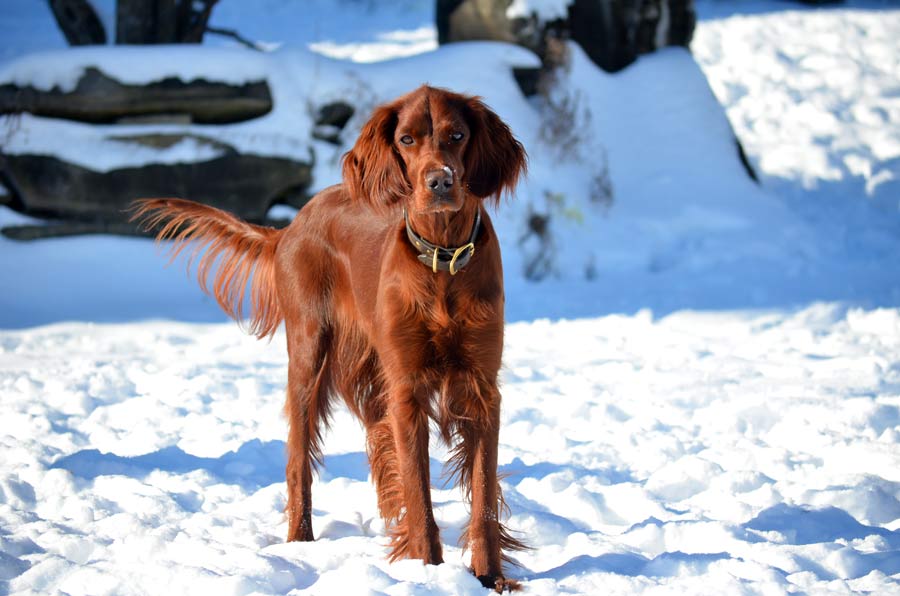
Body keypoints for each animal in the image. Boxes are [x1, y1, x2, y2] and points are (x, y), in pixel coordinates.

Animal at [134, 85, 528, 592]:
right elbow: (419, 491)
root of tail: (293, 224)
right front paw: (429, 571)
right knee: (298, 462)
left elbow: (482, 494)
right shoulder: (407, 390)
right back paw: (299, 544)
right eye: (406, 139)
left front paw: (489, 577)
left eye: (457, 135)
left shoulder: (481, 389)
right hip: (307, 357)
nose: (439, 181)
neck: (442, 260)